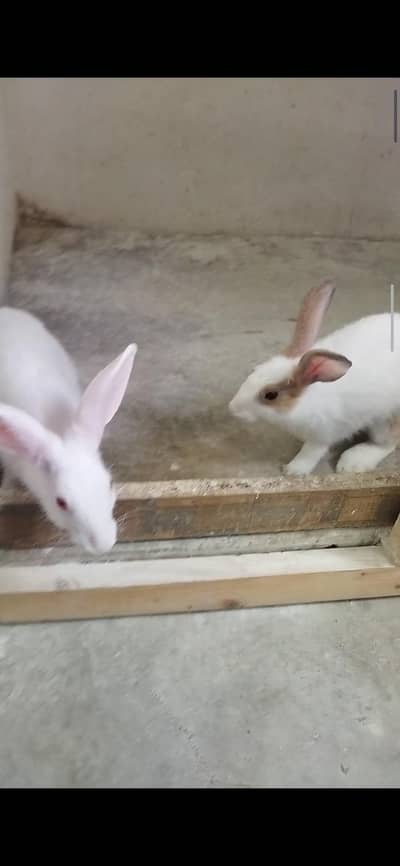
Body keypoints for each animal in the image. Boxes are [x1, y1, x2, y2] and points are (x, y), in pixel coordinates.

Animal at [229, 280, 400, 476]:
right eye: (253, 370)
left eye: (271, 395)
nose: (232, 408)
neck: (305, 400)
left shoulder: (323, 434)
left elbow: (311, 452)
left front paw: (293, 471)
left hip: (386, 420)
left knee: (388, 443)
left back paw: (353, 462)